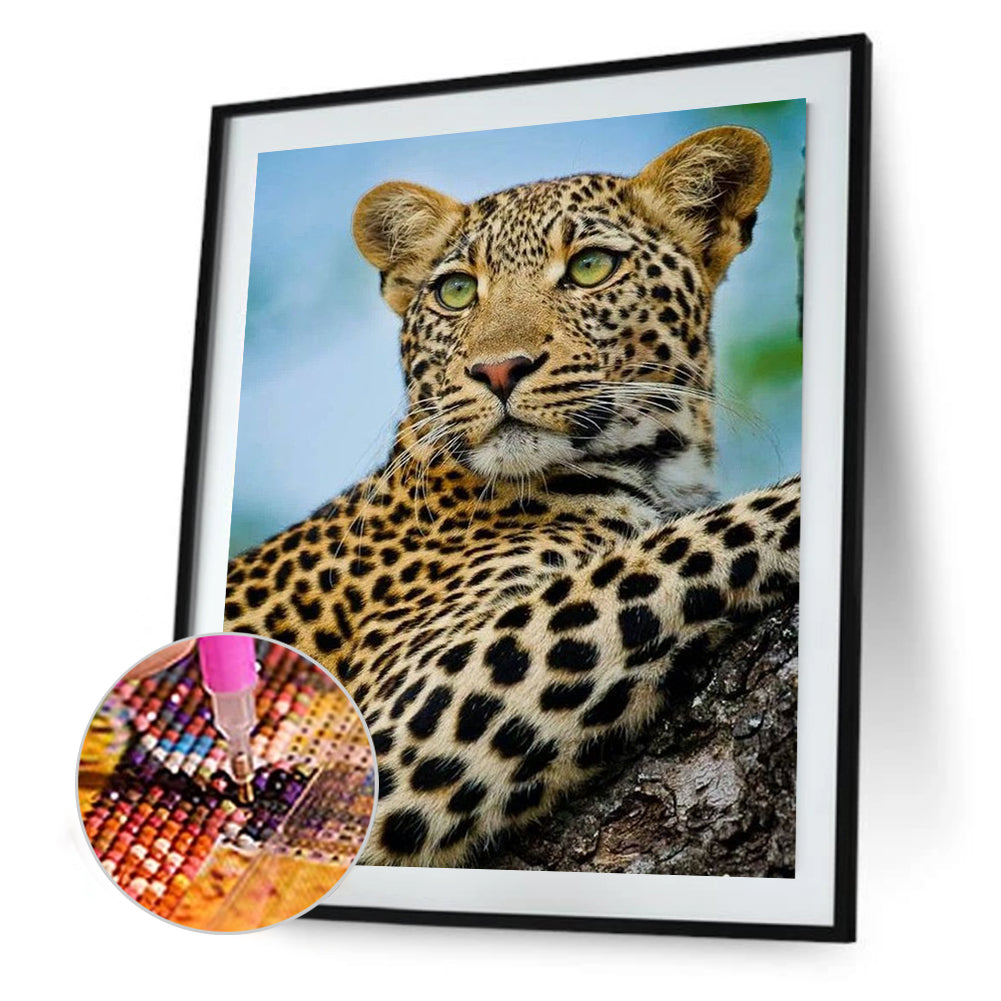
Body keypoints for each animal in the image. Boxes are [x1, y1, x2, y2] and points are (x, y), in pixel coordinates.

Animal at [224, 126, 801, 868]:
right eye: (456, 290)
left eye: (590, 267)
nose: (498, 369)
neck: (661, 467)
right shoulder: (389, 724)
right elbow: (672, 548)